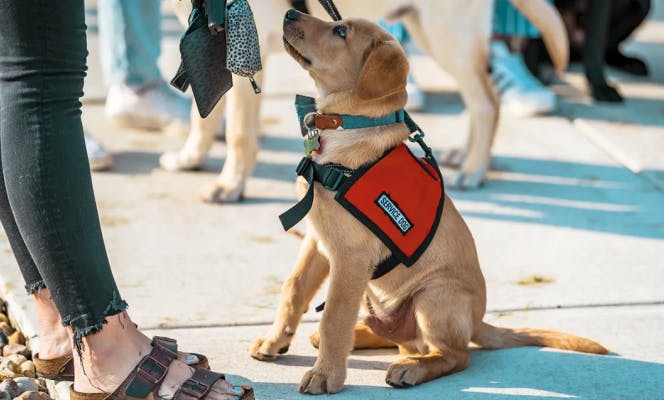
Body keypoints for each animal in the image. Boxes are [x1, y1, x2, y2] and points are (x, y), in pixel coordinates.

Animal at [162, 0, 572, 200]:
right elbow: (203, 114)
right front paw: (190, 158)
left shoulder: (248, 50)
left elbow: (239, 132)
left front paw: (229, 185)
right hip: (430, 33)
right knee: (480, 97)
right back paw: (465, 156)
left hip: (447, 34)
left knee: (486, 101)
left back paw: (473, 171)